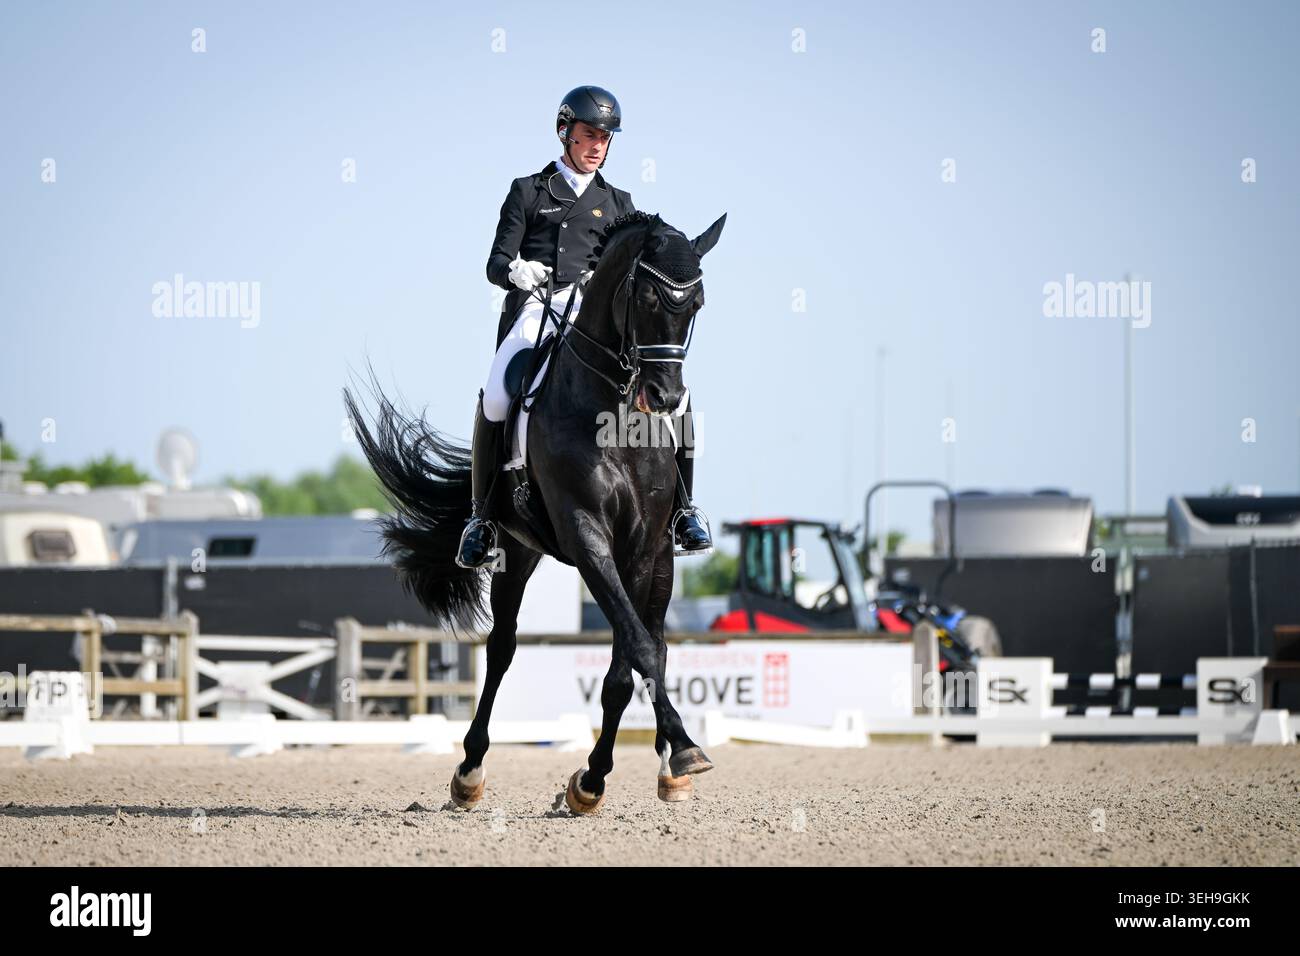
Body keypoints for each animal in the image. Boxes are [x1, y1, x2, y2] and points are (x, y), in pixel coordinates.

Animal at [343, 209, 727, 814]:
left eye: (696, 305)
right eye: (646, 298)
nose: (665, 398)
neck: (614, 411)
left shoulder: (642, 547)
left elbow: (630, 661)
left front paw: (610, 772)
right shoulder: (586, 536)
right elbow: (632, 649)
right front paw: (610, 773)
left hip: (665, 557)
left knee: (660, 641)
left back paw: (670, 772)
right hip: (514, 551)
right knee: (501, 648)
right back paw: (469, 771)